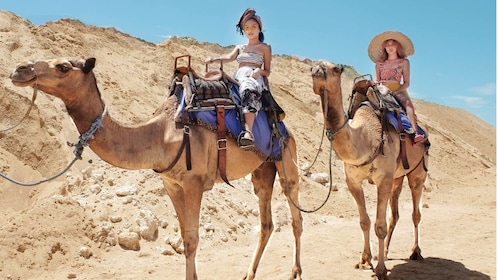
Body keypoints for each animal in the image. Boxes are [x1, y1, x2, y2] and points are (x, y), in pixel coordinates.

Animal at [8, 57, 304, 280]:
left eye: (63, 67)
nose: (19, 69)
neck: (161, 135)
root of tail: (282, 122)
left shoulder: (194, 182)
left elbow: (192, 240)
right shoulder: (171, 183)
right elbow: (184, 236)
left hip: (286, 157)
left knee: (296, 215)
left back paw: (295, 271)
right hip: (263, 169)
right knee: (266, 221)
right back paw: (249, 274)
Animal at [312, 60, 428, 278]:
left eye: (335, 69)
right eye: (313, 67)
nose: (317, 69)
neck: (365, 138)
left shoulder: (383, 180)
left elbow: (379, 225)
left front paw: (381, 270)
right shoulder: (353, 181)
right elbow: (364, 221)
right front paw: (365, 260)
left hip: (417, 173)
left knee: (415, 214)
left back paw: (415, 252)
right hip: (397, 178)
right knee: (394, 214)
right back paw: (387, 252)